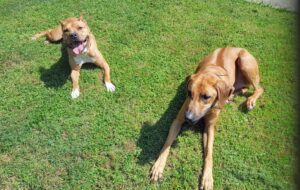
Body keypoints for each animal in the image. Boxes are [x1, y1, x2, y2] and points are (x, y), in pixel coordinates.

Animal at [150, 47, 262, 190]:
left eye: (206, 97)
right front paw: (158, 166)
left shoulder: (210, 127)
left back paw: (250, 100)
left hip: (244, 62)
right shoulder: (178, 120)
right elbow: (167, 143)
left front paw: (207, 178)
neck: (211, 72)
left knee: (259, 88)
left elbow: (209, 152)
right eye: (189, 93)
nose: (188, 118)